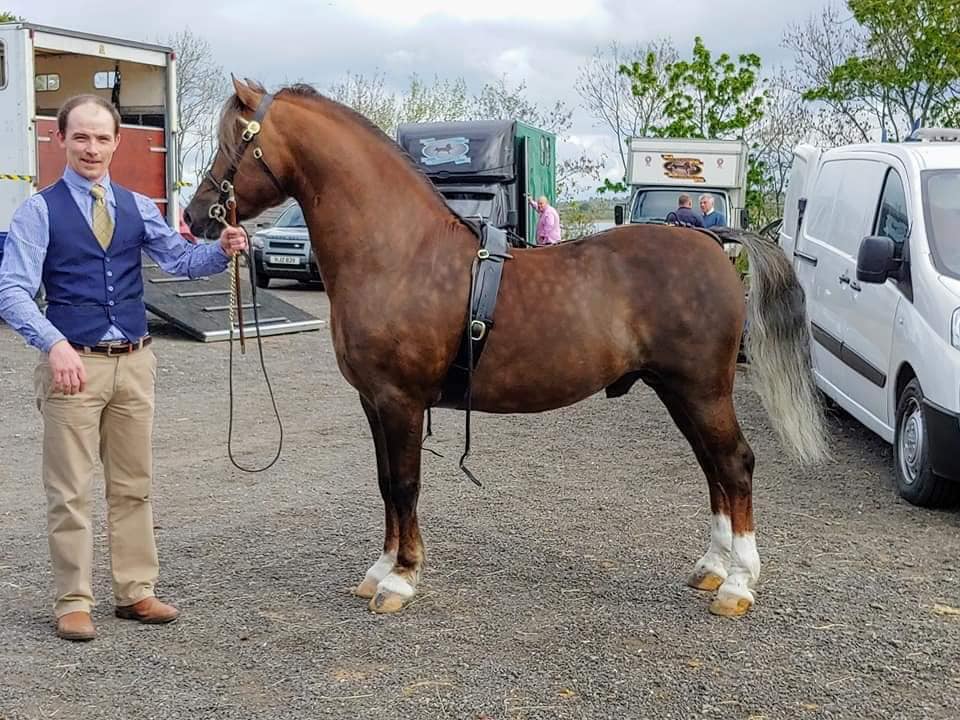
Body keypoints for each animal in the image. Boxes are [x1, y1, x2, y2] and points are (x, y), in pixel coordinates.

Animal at [185, 78, 828, 619]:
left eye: (234, 141)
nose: (195, 217)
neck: (398, 253)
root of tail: (713, 242)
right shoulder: (373, 402)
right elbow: (385, 483)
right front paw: (379, 569)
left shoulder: (399, 401)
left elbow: (405, 484)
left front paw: (401, 579)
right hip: (678, 390)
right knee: (713, 468)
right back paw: (712, 569)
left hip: (702, 389)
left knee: (734, 464)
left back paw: (739, 585)